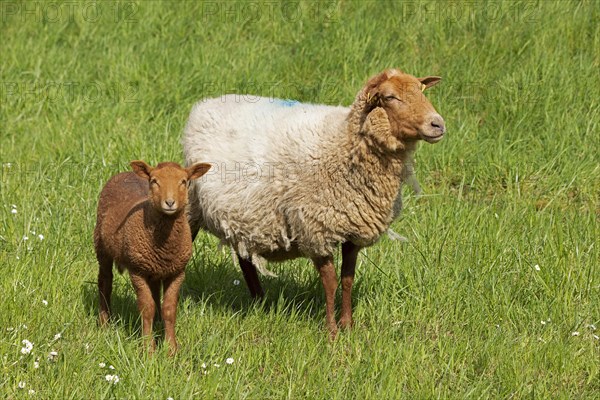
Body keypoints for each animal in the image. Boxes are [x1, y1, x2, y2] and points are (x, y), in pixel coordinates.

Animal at [95, 159, 211, 354]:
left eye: (184, 181)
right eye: (154, 181)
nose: (170, 202)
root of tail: (125, 173)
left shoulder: (177, 272)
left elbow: (169, 310)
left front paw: (171, 349)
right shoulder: (137, 271)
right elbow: (146, 308)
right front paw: (148, 349)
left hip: (155, 269)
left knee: (155, 291)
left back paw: (157, 323)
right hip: (101, 246)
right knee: (105, 282)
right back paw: (105, 323)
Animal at [183, 69, 446, 338]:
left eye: (422, 91)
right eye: (390, 97)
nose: (438, 124)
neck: (344, 143)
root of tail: (205, 105)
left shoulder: (353, 232)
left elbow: (347, 279)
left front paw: (348, 325)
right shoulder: (315, 230)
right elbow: (330, 282)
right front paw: (331, 332)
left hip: (243, 215)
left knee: (245, 258)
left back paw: (260, 301)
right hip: (192, 208)